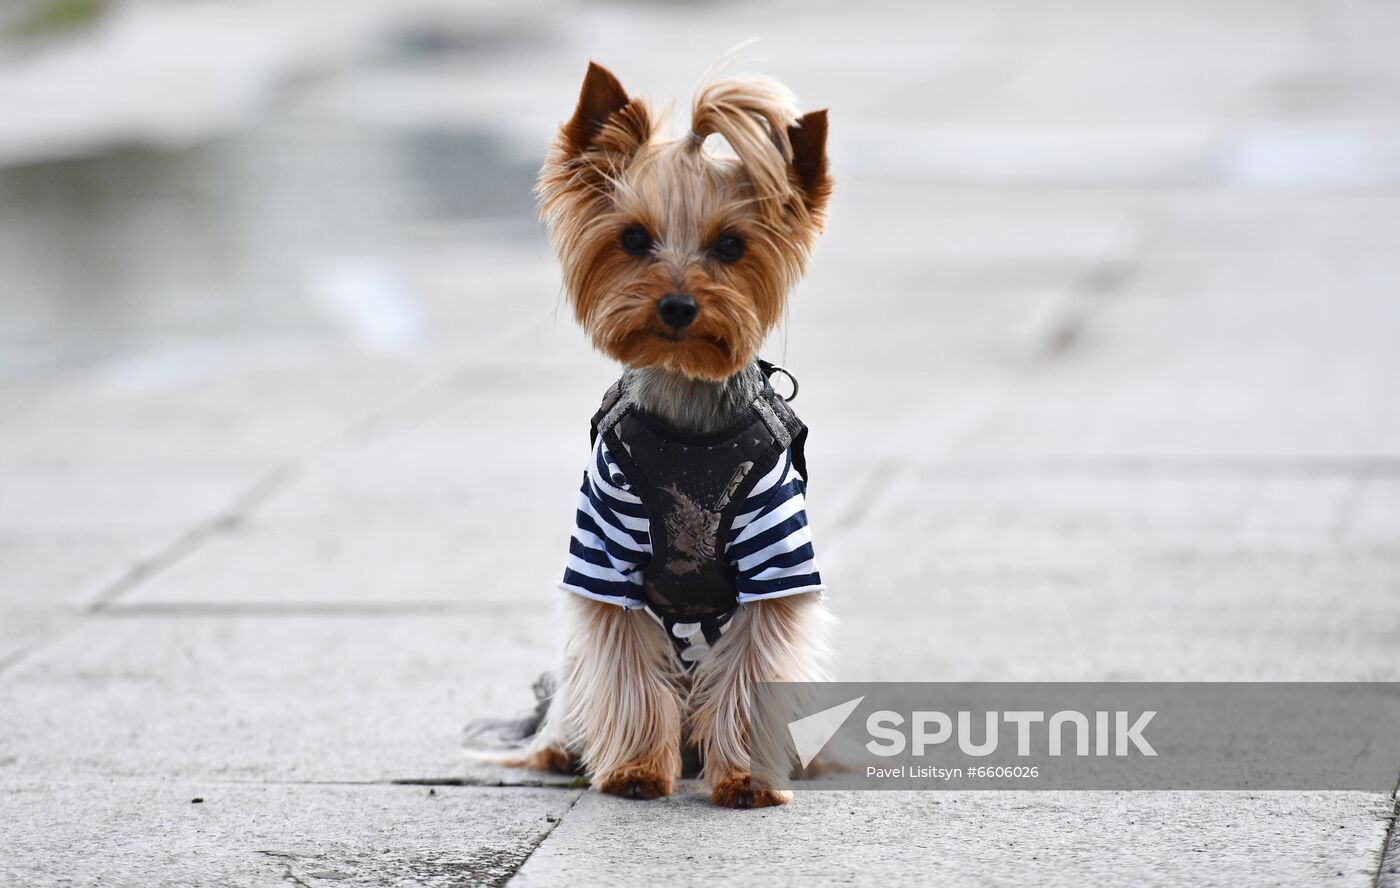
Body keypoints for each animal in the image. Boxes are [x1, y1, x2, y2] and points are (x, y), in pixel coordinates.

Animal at [512, 62, 828, 806]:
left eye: (731, 246)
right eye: (633, 239)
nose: (678, 305)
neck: (688, 420)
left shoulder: (776, 559)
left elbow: (753, 670)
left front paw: (746, 778)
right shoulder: (605, 557)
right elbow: (625, 669)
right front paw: (632, 770)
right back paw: (560, 749)